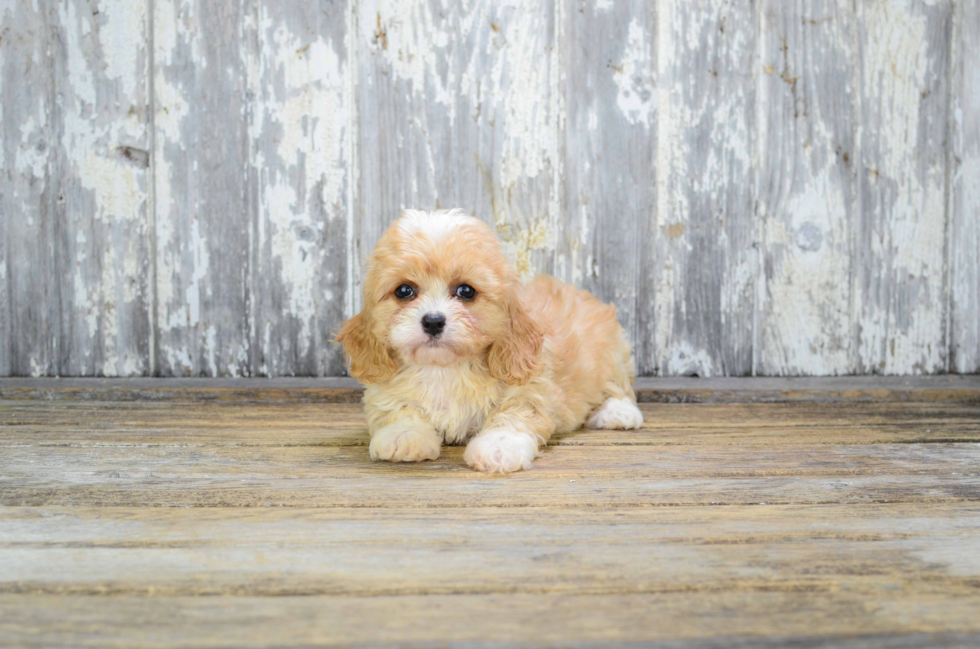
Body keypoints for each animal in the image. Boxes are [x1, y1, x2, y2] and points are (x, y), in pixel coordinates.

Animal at [336, 210, 644, 474]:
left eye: (466, 291)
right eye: (403, 291)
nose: (433, 321)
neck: (444, 368)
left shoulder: (530, 389)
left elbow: (513, 415)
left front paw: (499, 446)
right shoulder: (385, 391)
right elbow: (399, 409)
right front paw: (403, 434)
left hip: (612, 351)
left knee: (619, 386)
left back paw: (618, 412)